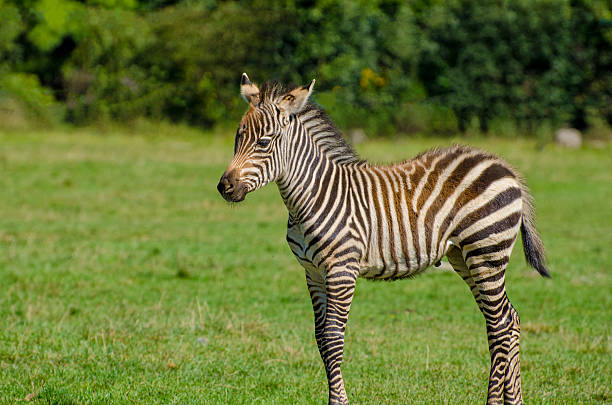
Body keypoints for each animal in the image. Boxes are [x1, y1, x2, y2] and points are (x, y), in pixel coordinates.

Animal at [216, 73, 548, 404]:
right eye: (237, 138)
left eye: (263, 142)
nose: (224, 187)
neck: (311, 195)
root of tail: (503, 164)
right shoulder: (313, 272)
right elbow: (320, 337)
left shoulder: (341, 270)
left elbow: (333, 339)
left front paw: (339, 401)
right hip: (464, 256)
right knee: (510, 319)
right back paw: (514, 399)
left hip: (486, 252)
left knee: (499, 326)